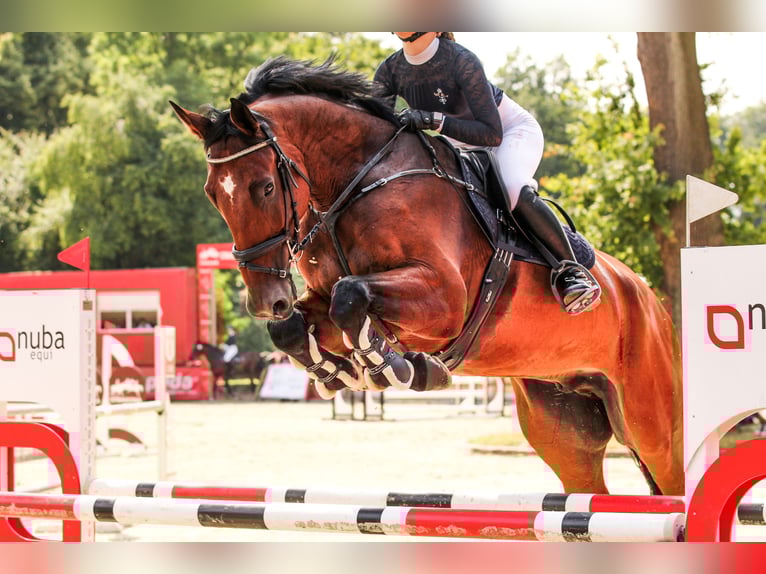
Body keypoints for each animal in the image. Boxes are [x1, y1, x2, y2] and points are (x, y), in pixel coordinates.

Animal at [171, 57, 683, 496]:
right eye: (213, 193)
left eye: (265, 187)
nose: (265, 300)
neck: (357, 183)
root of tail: (650, 300)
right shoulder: (323, 298)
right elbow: (296, 326)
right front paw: (338, 372)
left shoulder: (444, 300)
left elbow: (351, 296)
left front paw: (398, 368)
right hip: (564, 425)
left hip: (655, 426)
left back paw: (575, 284)